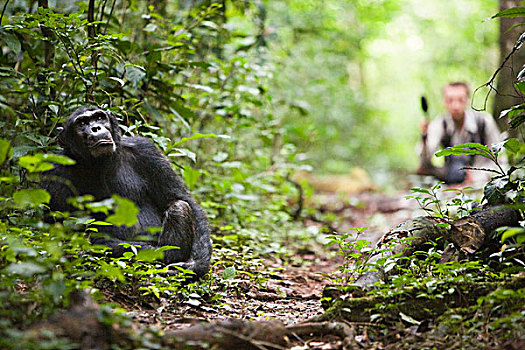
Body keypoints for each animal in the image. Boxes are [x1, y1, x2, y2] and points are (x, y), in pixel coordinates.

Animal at [42, 106, 212, 278]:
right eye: (82, 123)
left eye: (99, 117)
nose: (96, 128)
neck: (100, 163)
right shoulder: (54, 171)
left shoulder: (147, 151)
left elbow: (179, 197)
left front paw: (194, 265)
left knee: (179, 206)